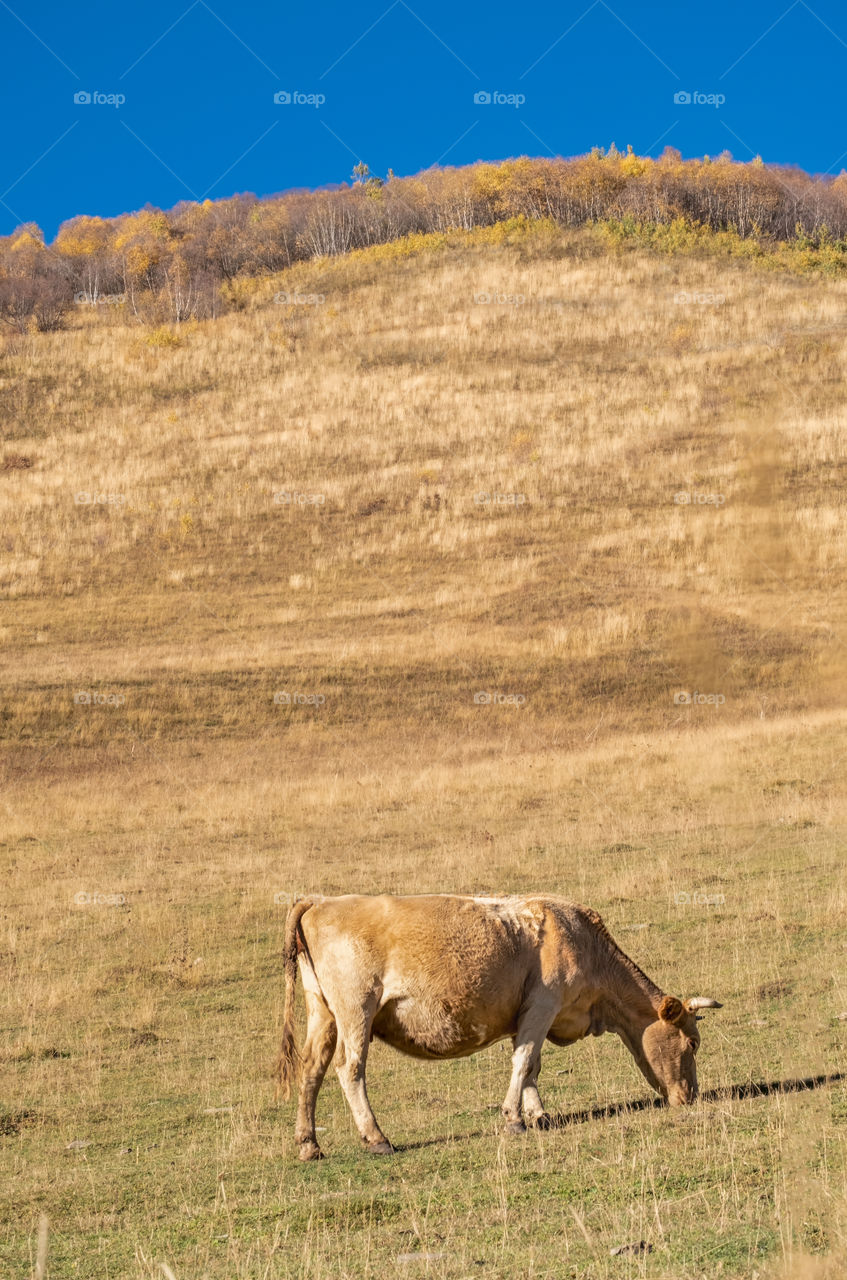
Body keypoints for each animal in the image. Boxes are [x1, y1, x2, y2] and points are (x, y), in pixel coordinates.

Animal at [280, 890, 721, 1162]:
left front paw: (539, 1115)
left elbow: (532, 1064)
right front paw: (514, 1119)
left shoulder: (528, 1014)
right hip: (356, 1010)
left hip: (323, 1013)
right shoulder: (544, 1003)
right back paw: (376, 1138)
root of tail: (320, 901)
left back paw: (308, 1144)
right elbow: (523, 1061)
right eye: (693, 1044)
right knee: (349, 1068)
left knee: (312, 1069)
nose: (690, 1096)